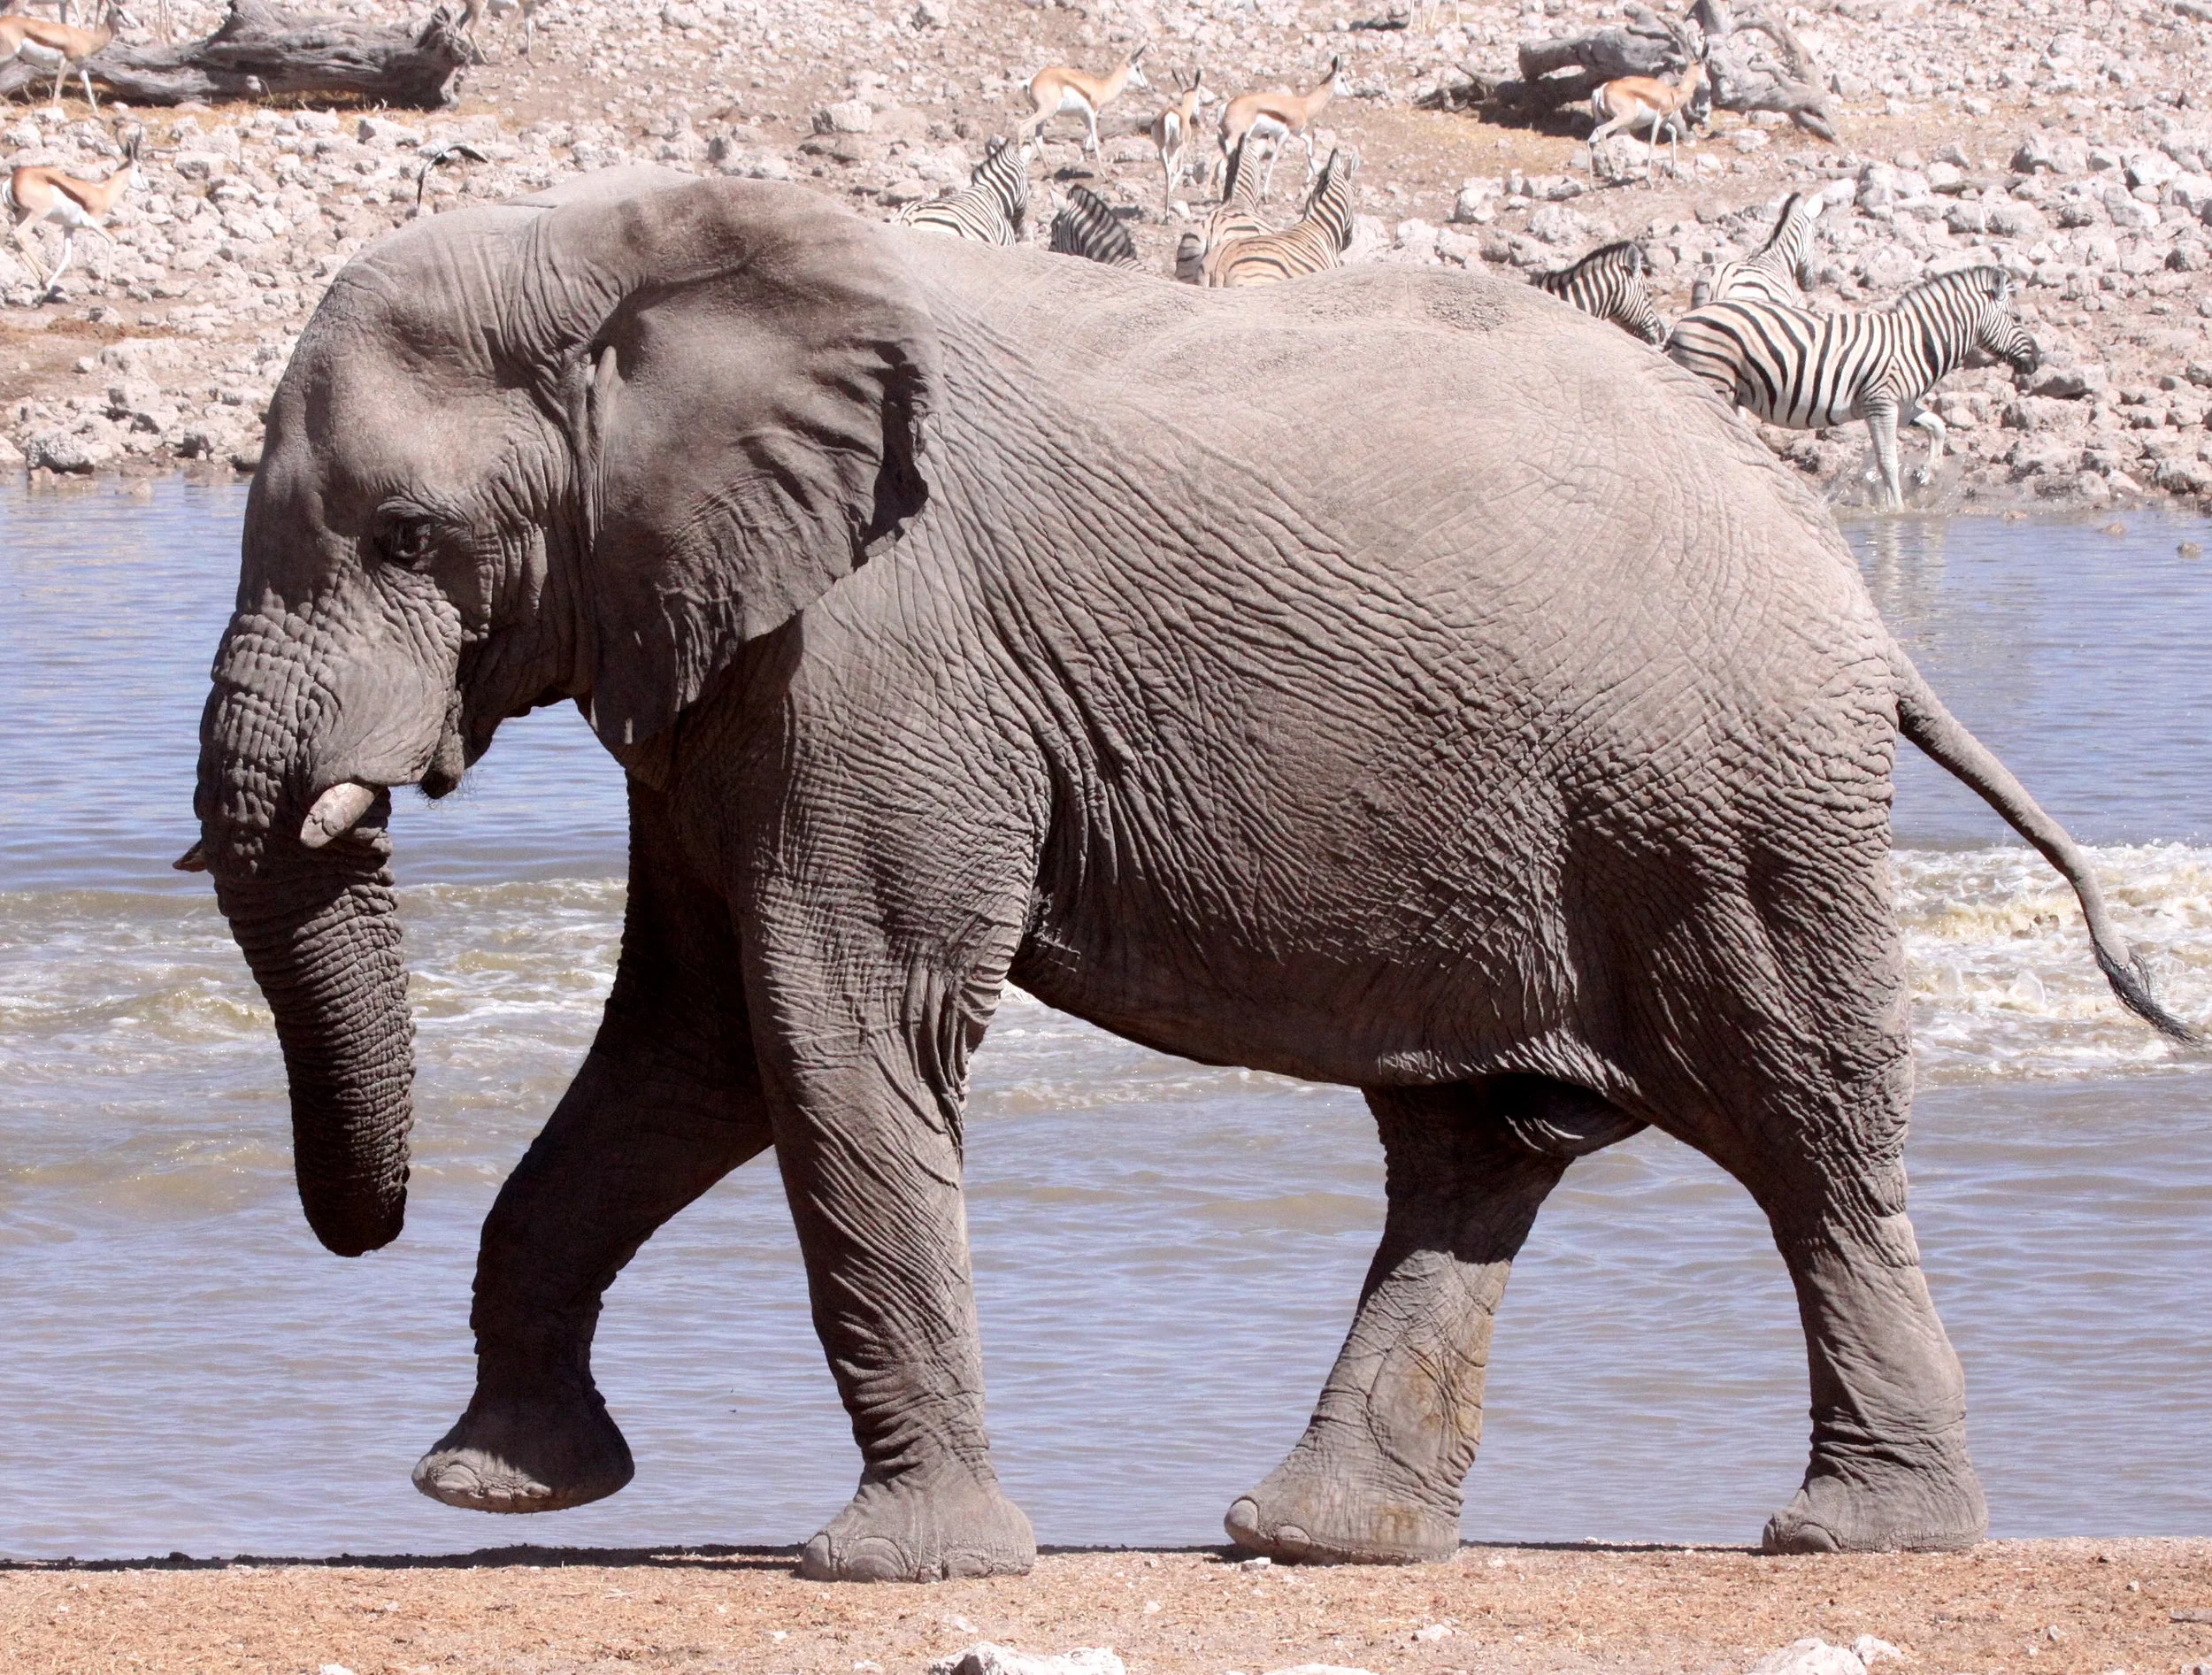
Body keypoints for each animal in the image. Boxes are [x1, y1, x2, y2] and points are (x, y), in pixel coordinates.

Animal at [186, 168, 2194, 1582]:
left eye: (407, 534)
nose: (358, 1232)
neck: (619, 242)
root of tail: (1842, 574)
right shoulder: (721, 651)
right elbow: (693, 1045)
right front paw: (498, 1486)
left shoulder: (887, 644)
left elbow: (836, 1018)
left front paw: (893, 1571)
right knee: (1476, 1145)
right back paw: (1312, 1540)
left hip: (1724, 804)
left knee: (1801, 1131)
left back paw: (1855, 1537)